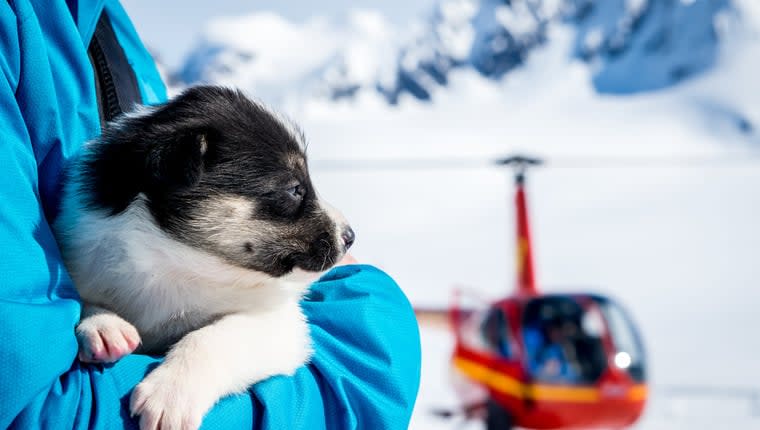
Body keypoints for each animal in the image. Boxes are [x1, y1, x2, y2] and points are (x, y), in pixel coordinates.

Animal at [53, 86, 356, 430]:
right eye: (295, 189)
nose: (350, 236)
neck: (176, 260)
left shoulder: (280, 321)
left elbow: (214, 337)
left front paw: (170, 393)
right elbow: (84, 298)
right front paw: (102, 326)